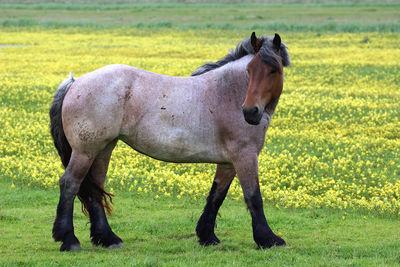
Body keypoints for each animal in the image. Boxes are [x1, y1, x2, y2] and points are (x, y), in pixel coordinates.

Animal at [50, 32, 290, 252]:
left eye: (273, 70)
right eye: (249, 70)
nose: (250, 112)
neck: (228, 92)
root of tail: (75, 83)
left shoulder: (228, 163)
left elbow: (216, 196)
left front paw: (207, 236)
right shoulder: (245, 156)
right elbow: (254, 197)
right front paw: (268, 239)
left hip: (102, 149)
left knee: (95, 189)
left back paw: (108, 238)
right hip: (85, 151)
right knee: (70, 183)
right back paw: (69, 239)